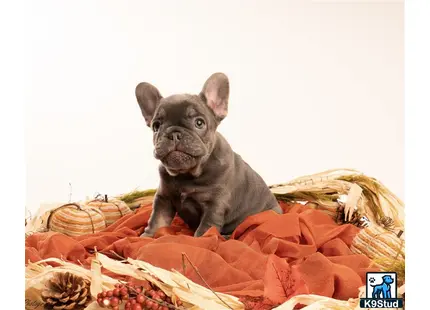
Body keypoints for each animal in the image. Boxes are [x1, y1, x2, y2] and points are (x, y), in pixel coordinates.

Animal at [135, 72, 282, 237]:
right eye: (156, 126)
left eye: (199, 123)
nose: (174, 134)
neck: (186, 175)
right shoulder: (163, 198)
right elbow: (157, 220)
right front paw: (147, 237)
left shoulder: (214, 205)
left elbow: (205, 229)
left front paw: (201, 239)